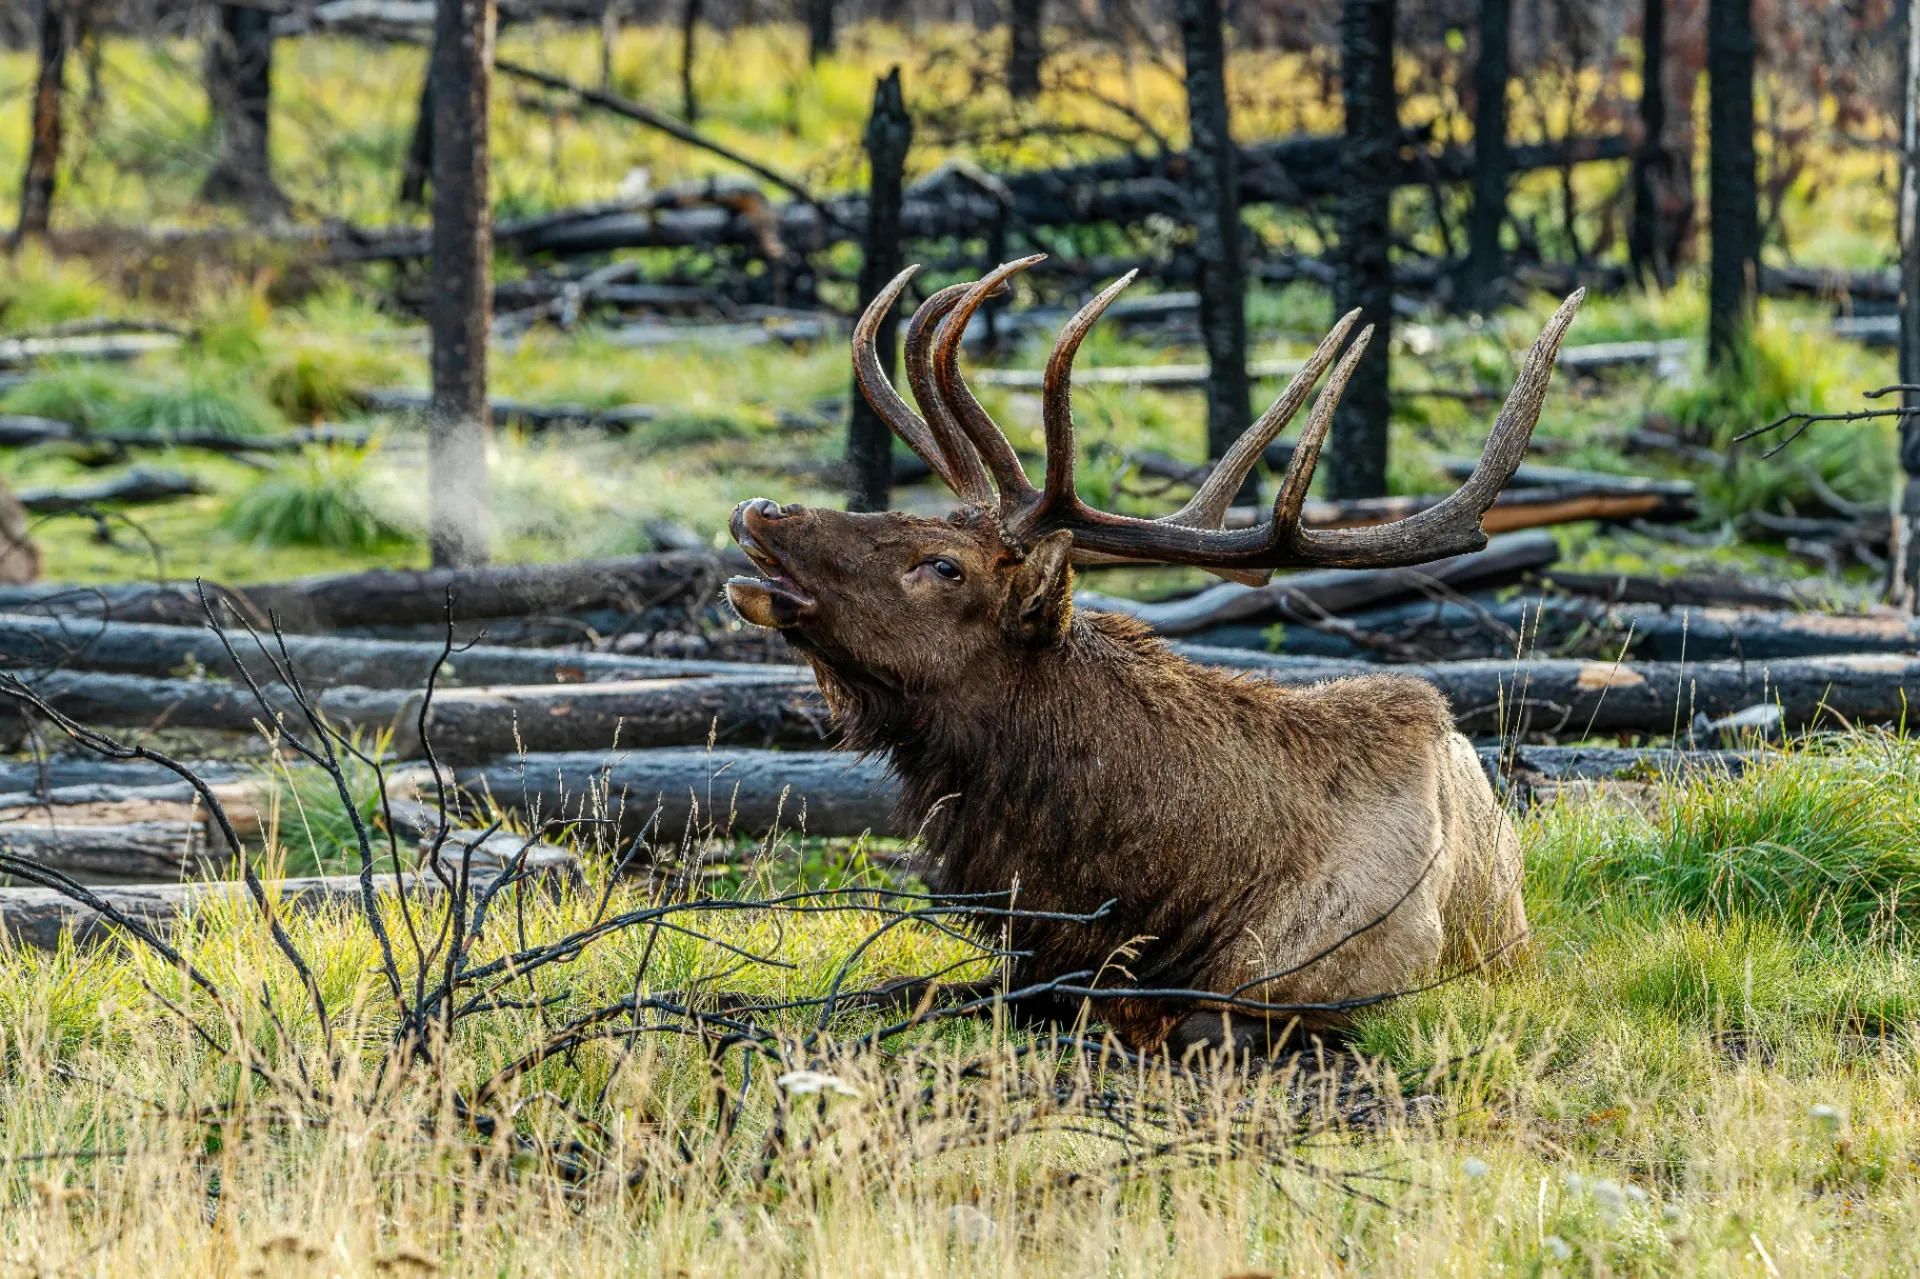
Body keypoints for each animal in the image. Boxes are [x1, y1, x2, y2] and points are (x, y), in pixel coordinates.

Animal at [725, 256, 1585, 1053]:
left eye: (943, 565)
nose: (761, 510)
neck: (1157, 897)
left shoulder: (1350, 995)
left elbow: (1178, 1027)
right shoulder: (1035, 964)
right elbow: (896, 989)